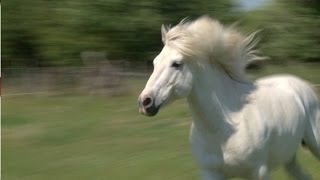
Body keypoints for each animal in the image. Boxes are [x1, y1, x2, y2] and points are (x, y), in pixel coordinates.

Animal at [138, 16, 320, 179]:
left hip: (314, 143)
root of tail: (302, 85)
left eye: (176, 64)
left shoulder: (259, 172)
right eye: (155, 63)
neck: (224, 128)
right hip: (289, 157)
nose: (145, 102)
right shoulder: (211, 173)